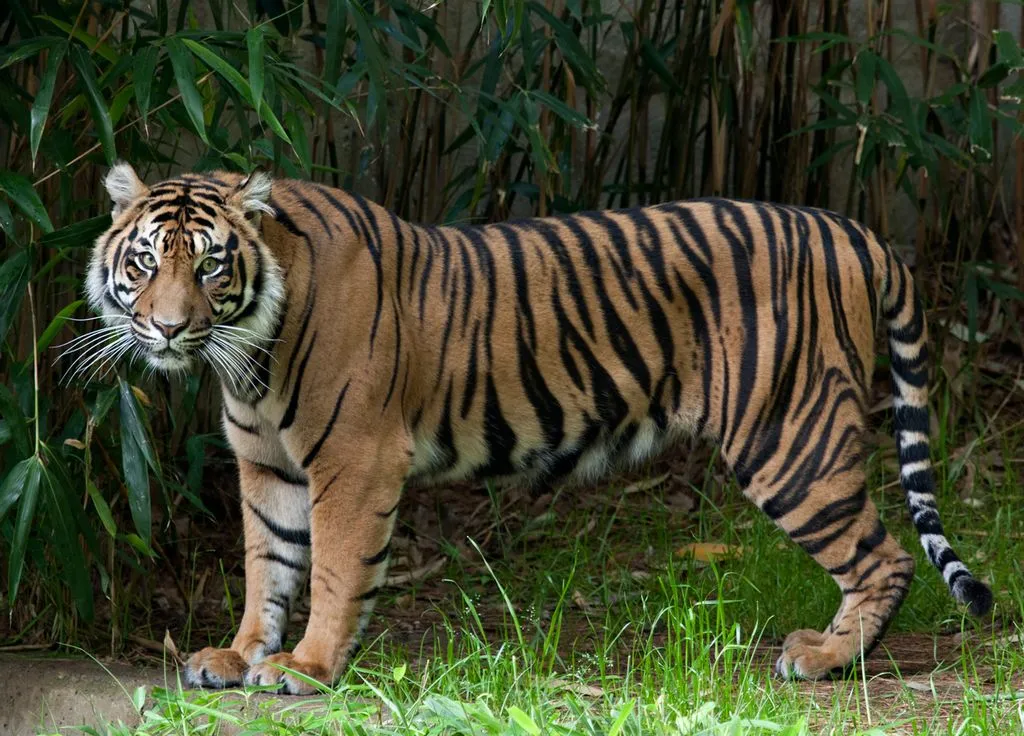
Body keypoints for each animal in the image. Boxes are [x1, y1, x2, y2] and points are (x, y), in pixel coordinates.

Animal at [83, 162, 992, 695]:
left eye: (210, 264)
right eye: (146, 261)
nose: (167, 328)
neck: (247, 351)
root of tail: (853, 228)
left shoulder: (354, 461)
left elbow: (336, 570)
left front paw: (304, 668)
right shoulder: (267, 466)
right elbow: (266, 568)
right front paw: (238, 657)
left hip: (789, 437)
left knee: (883, 557)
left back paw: (829, 659)